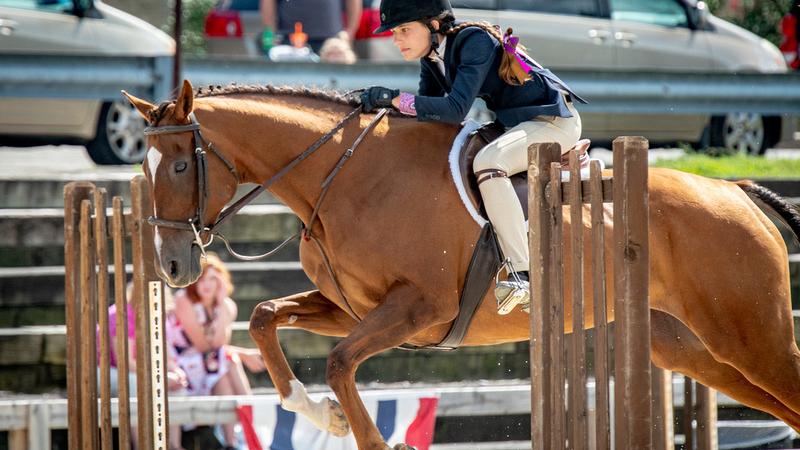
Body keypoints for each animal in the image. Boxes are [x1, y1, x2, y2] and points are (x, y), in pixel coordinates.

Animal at [123, 79, 800, 448]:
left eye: (180, 165)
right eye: (143, 169)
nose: (174, 268)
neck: (340, 179)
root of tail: (737, 192)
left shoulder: (418, 307)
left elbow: (339, 363)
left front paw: (372, 440)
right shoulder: (354, 308)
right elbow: (266, 317)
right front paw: (325, 418)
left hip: (750, 338)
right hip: (695, 351)